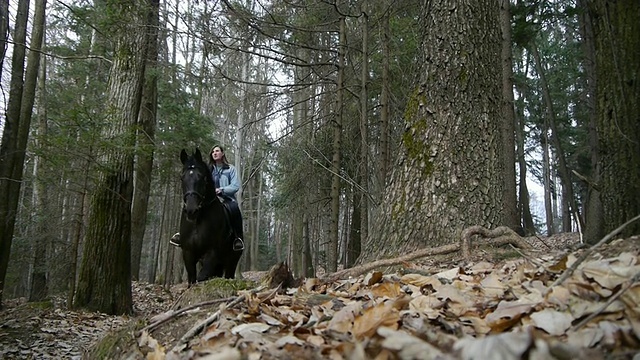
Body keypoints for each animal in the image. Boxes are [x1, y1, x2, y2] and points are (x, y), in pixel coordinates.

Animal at [179, 148, 241, 282]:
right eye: (182, 178)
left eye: (202, 177)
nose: (191, 210)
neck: (197, 221)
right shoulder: (188, 253)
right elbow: (192, 279)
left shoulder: (212, 253)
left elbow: (202, 277)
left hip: (232, 260)